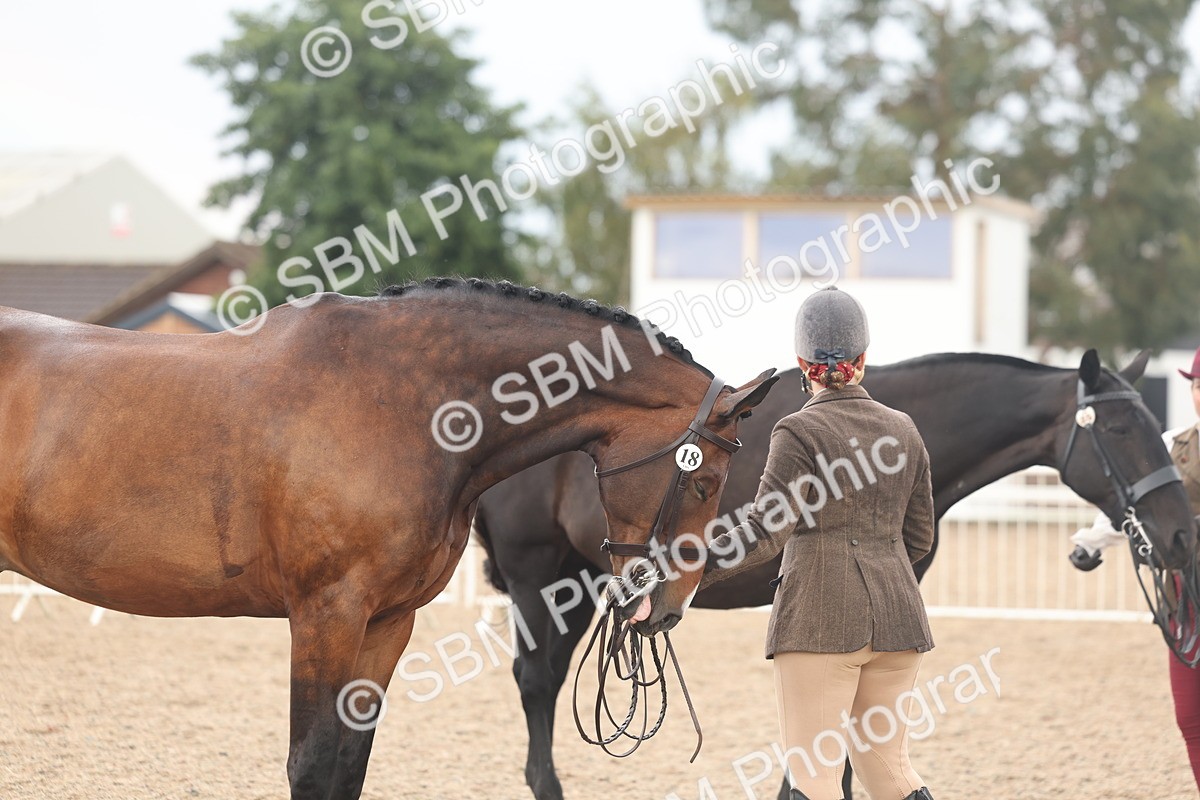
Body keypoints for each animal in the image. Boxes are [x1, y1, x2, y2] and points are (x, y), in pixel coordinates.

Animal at [0, 277, 779, 800]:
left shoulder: (386, 621)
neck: (402, 403)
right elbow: (312, 764)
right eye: (707, 481)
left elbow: (350, 763)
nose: (670, 608)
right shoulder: (327, 614)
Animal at [473, 349, 1196, 800]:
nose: (1179, 534)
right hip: (539, 576)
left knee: (552, 680)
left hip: (584, 583)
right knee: (535, 683)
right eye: (1124, 429)